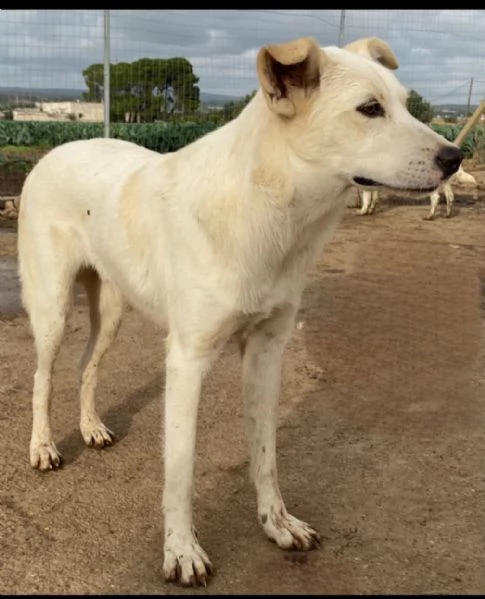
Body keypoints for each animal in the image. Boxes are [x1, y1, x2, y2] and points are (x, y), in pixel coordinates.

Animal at [16, 35, 462, 588]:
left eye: (403, 102)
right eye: (370, 109)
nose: (456, 155)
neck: (268, 207)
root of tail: (56, 151)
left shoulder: (267, 350)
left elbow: (266, 455)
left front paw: (278, 524)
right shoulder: (187, 360)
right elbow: (180, 472)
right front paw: (182, 551)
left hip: (113, 310)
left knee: (86, 366)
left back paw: (91, 427)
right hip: (53, 309)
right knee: (43, 376)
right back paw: (43, 447)